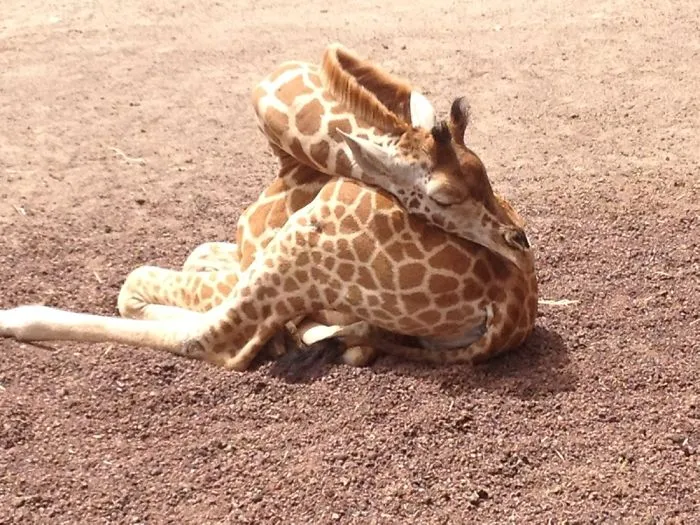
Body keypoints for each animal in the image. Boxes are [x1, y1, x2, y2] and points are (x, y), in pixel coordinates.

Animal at [0, 44, 538, 371]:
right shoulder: (240, 248)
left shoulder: (257, 255)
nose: (519, 242)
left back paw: (18, 317)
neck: (286, 147)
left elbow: (136, 284)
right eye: (446, 194)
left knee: (215, 340)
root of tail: (510, 318)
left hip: (301, 251)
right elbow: (195, 253)